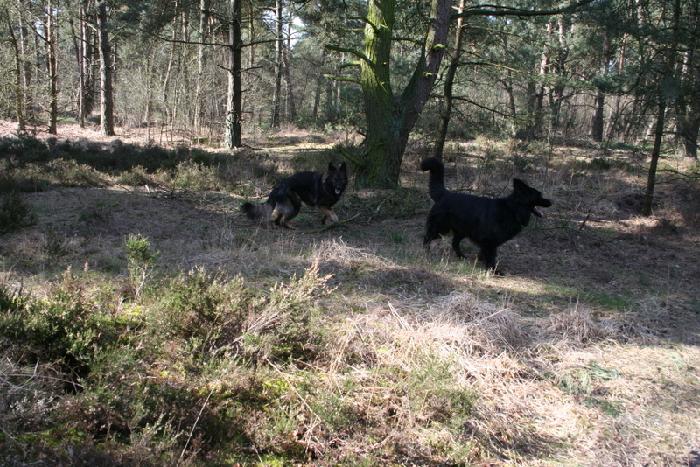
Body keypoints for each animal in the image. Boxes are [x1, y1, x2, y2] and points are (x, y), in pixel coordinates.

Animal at [421, 157, 551, 273]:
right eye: (539, 196)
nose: (550, 201)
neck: (512, 210)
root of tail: (444, 194)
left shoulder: (488, 243)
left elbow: (484, 253)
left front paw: (481, 262)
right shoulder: (489, 242)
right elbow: (491, 257)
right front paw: (493, 270)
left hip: (462, 230)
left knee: (454, 243)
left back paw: (462, 257)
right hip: (440, 228)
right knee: (427, 238)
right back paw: (426, 253)